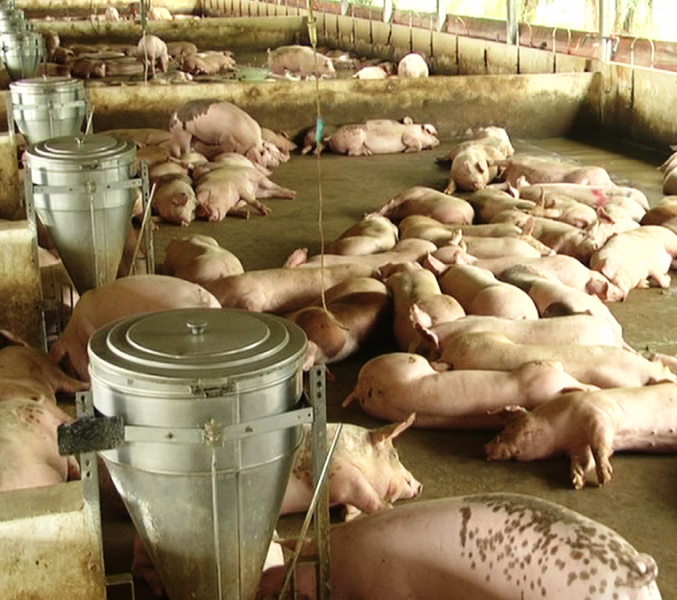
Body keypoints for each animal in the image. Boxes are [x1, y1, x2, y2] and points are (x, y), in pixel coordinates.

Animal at [281, 415, 421, 520]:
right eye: (395, 455)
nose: (421, 485)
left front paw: (346, 514)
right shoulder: (339, 471)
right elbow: (367, 496)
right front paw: (389, 510)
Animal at [485, 382, 677, 490]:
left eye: (511, 426)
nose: (486, 447)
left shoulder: (598, 416)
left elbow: (599, 446)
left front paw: (604, 480)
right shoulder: (577, 445)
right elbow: (586, 459)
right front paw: (577, 482)